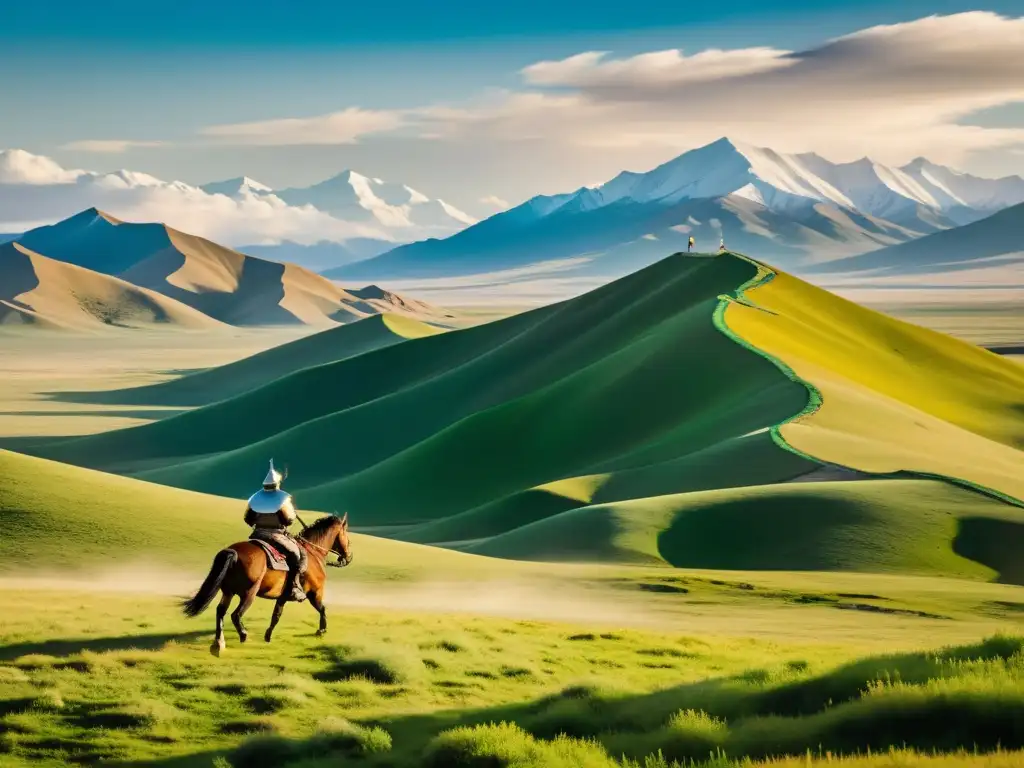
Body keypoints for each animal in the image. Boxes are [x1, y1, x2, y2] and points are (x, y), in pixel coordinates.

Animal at [184, 514, 356, 659]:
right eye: (346, 536)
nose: (348, 557)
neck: (313, 552)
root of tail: (233, 552)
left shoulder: (282, 597)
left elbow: (276, 616)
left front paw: (268, 636)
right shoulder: (315, 593)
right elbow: (322, 609)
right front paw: (321, 630)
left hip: (228, 592)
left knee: (220, 611)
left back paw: (219, 644)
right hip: (249, 593)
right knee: (235, 614)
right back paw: (243, 635)